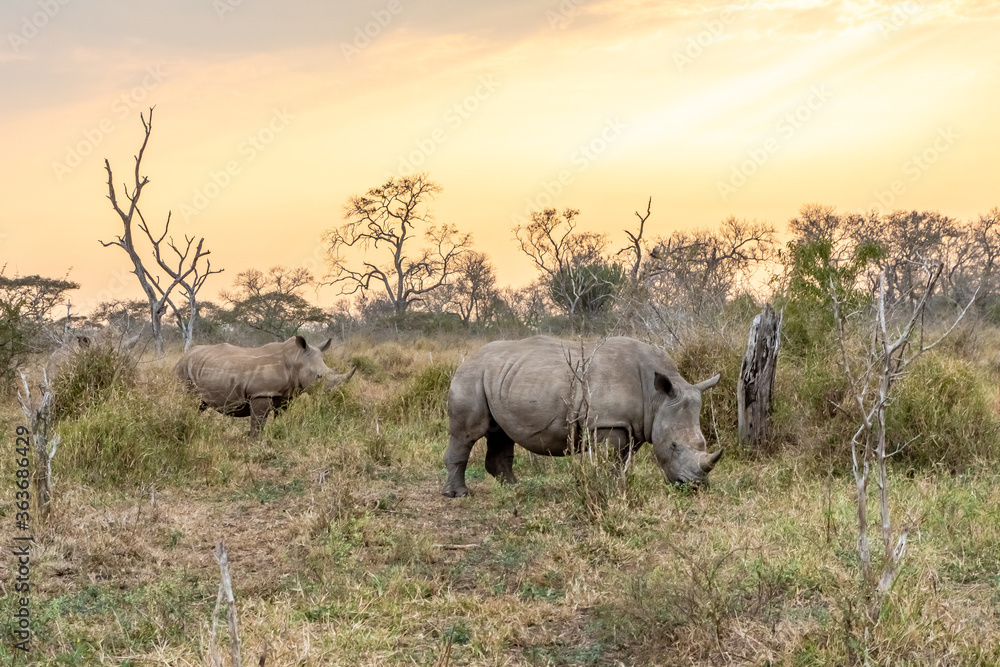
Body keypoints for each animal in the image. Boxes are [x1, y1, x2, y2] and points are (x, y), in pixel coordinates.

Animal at [174, 335, 355, 437]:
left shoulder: (285, 396)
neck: (296, 359)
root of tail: (184, 355)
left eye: (332, 371)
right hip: (183, 371)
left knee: (200, 405)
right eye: (319, 376)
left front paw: (278, 432)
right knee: (190, 401)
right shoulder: (261, 393)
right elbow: (258, 422)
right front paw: (255, 442)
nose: (335, 396)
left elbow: (280, 416)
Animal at [442, 335, 722, 497]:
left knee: (500, 432)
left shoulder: (630, 425)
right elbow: (610, 461)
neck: (657, 399)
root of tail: (468, 358)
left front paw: (619, 487)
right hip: (471, 376)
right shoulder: (609, 424)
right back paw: (459, 494)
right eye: (673, 446)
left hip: (501, 376)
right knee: (467, 434)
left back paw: (513, 487)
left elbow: (621, 462)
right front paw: (610, 491)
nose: (695, 486)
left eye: (703, 443)